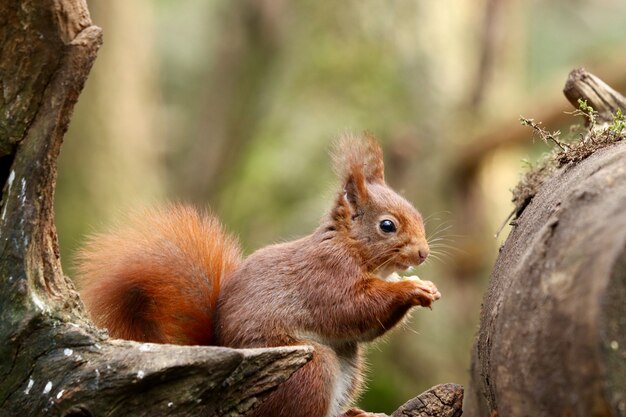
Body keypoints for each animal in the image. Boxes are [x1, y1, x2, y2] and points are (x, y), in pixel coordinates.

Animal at [77, 133, 438, 416]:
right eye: (387, 225)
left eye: (417, 213)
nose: (423, 253)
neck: (350, 248)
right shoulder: (325, 276)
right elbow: (352, 308)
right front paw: (411, 290)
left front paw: (423, 286)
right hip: (310, 368)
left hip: (348, 366)